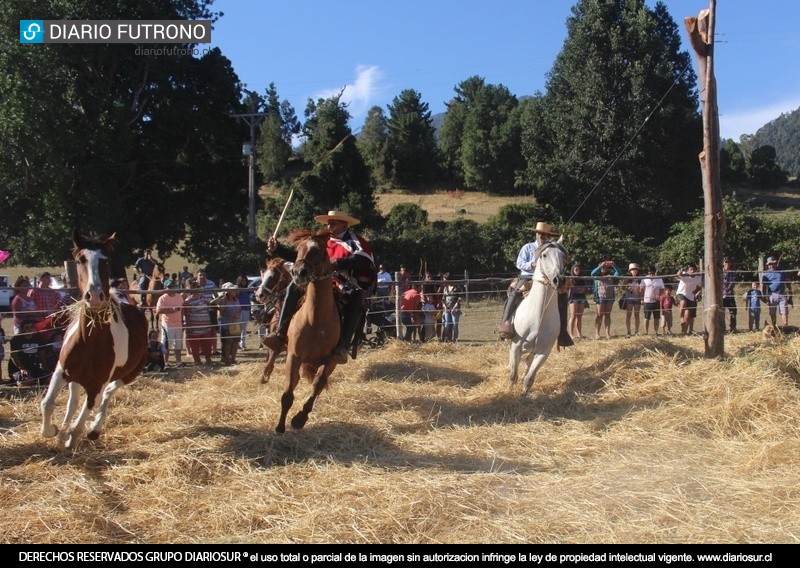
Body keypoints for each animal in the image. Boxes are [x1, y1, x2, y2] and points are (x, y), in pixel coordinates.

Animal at [253, 258, 294, 386]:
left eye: (273, 276)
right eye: (264, 274)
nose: (259, 295)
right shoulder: (274, 342)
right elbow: (270, 359)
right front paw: (263, 377)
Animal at [276, 229, 340, 432]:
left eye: (318, 251)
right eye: (298, 250)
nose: (299, 273)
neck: (315, 319)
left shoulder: (329, 360)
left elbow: (317, 384)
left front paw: (299, 418)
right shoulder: (294, 356)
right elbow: (288, 392)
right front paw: (280, 426)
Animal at [510, 237, 564, 398]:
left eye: (563, 256)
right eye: (544, 255)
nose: (558, 280)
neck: (538, 317)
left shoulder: (543, 352)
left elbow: (529, 378)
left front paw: (523, 395)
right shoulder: (516, 346)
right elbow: (513, 375)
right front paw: (509, 393)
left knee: (528, 364)